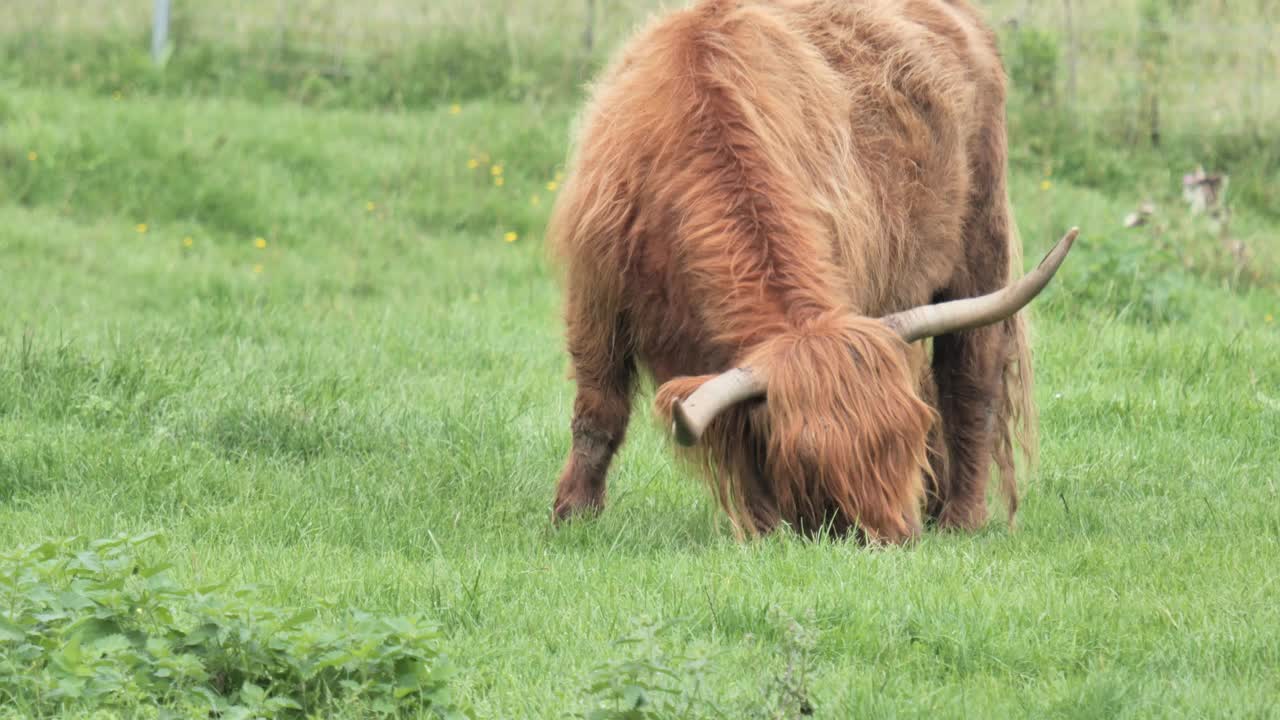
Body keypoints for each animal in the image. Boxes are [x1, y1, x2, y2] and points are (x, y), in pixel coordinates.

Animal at [545, 0, 1075, 540]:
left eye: (905, 433)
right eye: (807, 459)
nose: (896, 537)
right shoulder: (595, 296)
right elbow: (600, 412)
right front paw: (573, 513)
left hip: (980, 245)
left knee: (971, 376)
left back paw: (959, 518)